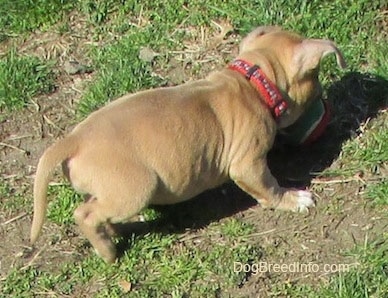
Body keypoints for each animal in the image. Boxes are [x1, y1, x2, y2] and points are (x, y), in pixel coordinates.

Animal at [30, 26, 346, 264]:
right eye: (315, 77)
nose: (325, 106)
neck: (253, 82)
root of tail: (74, 140)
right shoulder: (248, 164)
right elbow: (269, 187)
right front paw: (292, 199)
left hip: (105, 189)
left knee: (94, 208)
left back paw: (112, 233)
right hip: (135, 188)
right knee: (85, 214)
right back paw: (107, 252)